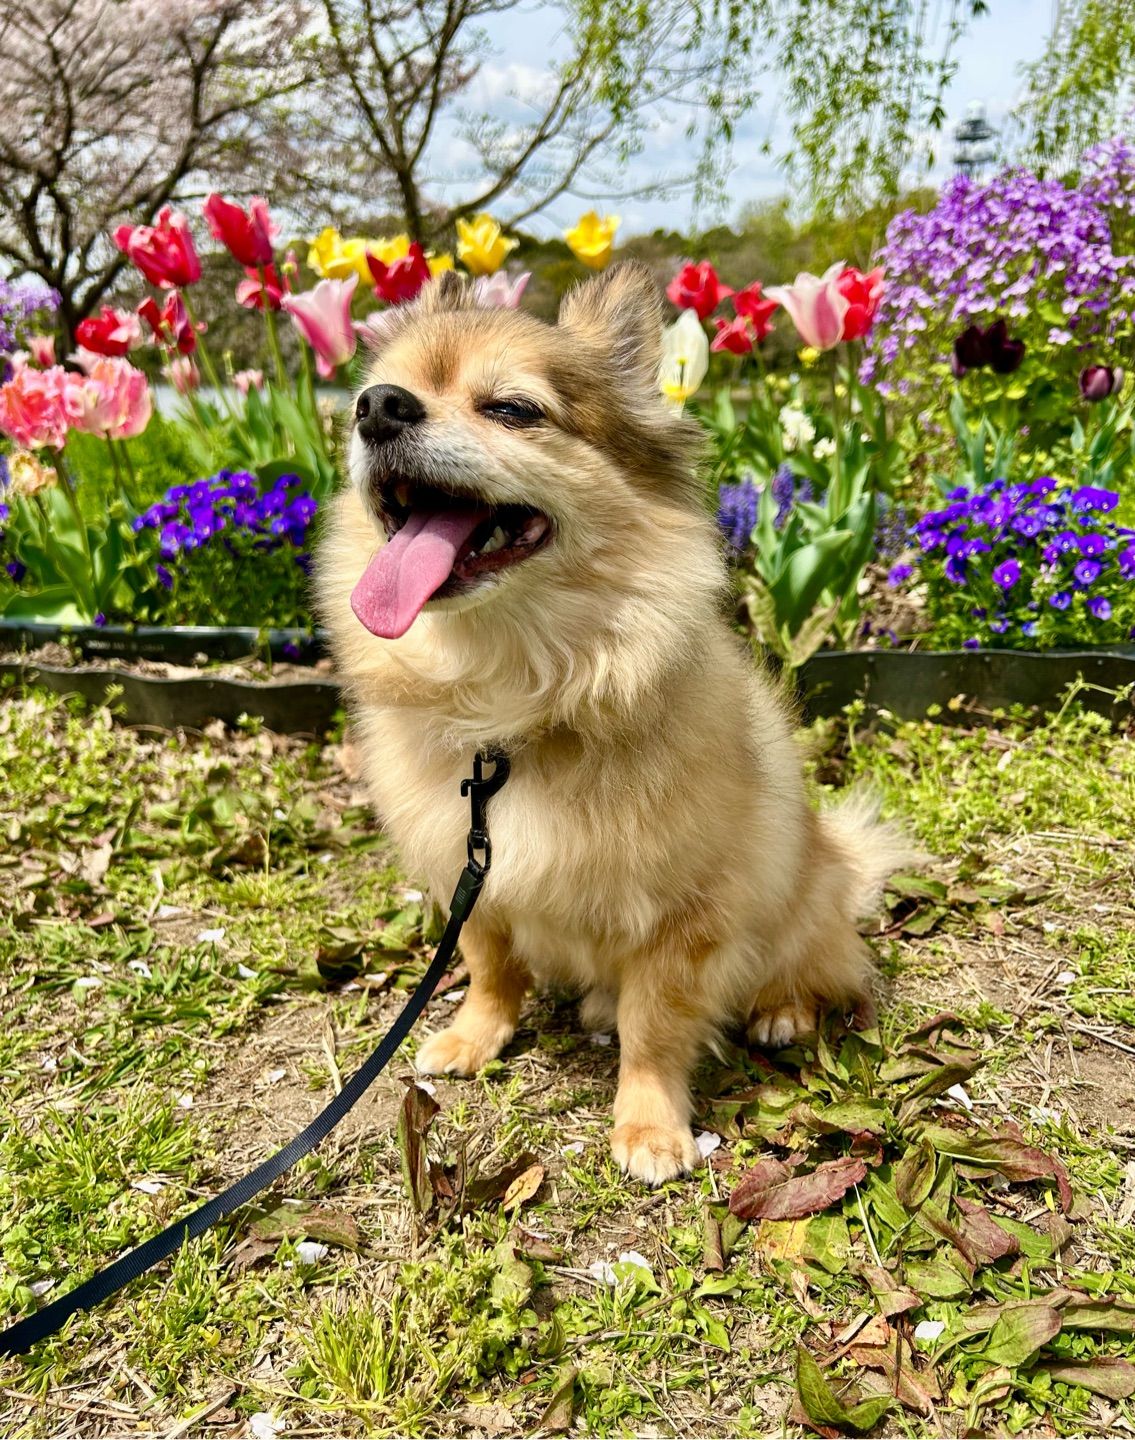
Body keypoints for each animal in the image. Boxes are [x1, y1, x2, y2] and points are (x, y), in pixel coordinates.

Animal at [316, 262, 904, 1180]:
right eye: (364, 401)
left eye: (511, 409)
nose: (378, 407)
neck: (512, 701)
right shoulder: (470, 875)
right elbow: (489, 965)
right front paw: (474, 1036)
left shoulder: (682, 921)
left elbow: (654, 1028)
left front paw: (649, 1125)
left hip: (803, 894)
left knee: (815, 963)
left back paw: (781, 1010)